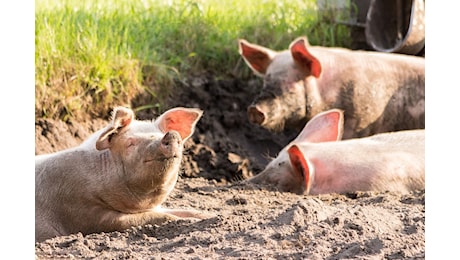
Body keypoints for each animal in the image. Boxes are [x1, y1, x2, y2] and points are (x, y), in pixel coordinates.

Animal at [35, 105, 212, 242]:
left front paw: (208, 216)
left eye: (160, 134)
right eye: (130, 143)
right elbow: (154, 218)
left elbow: (181, 211)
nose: (172, 134)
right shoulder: (82, 211)